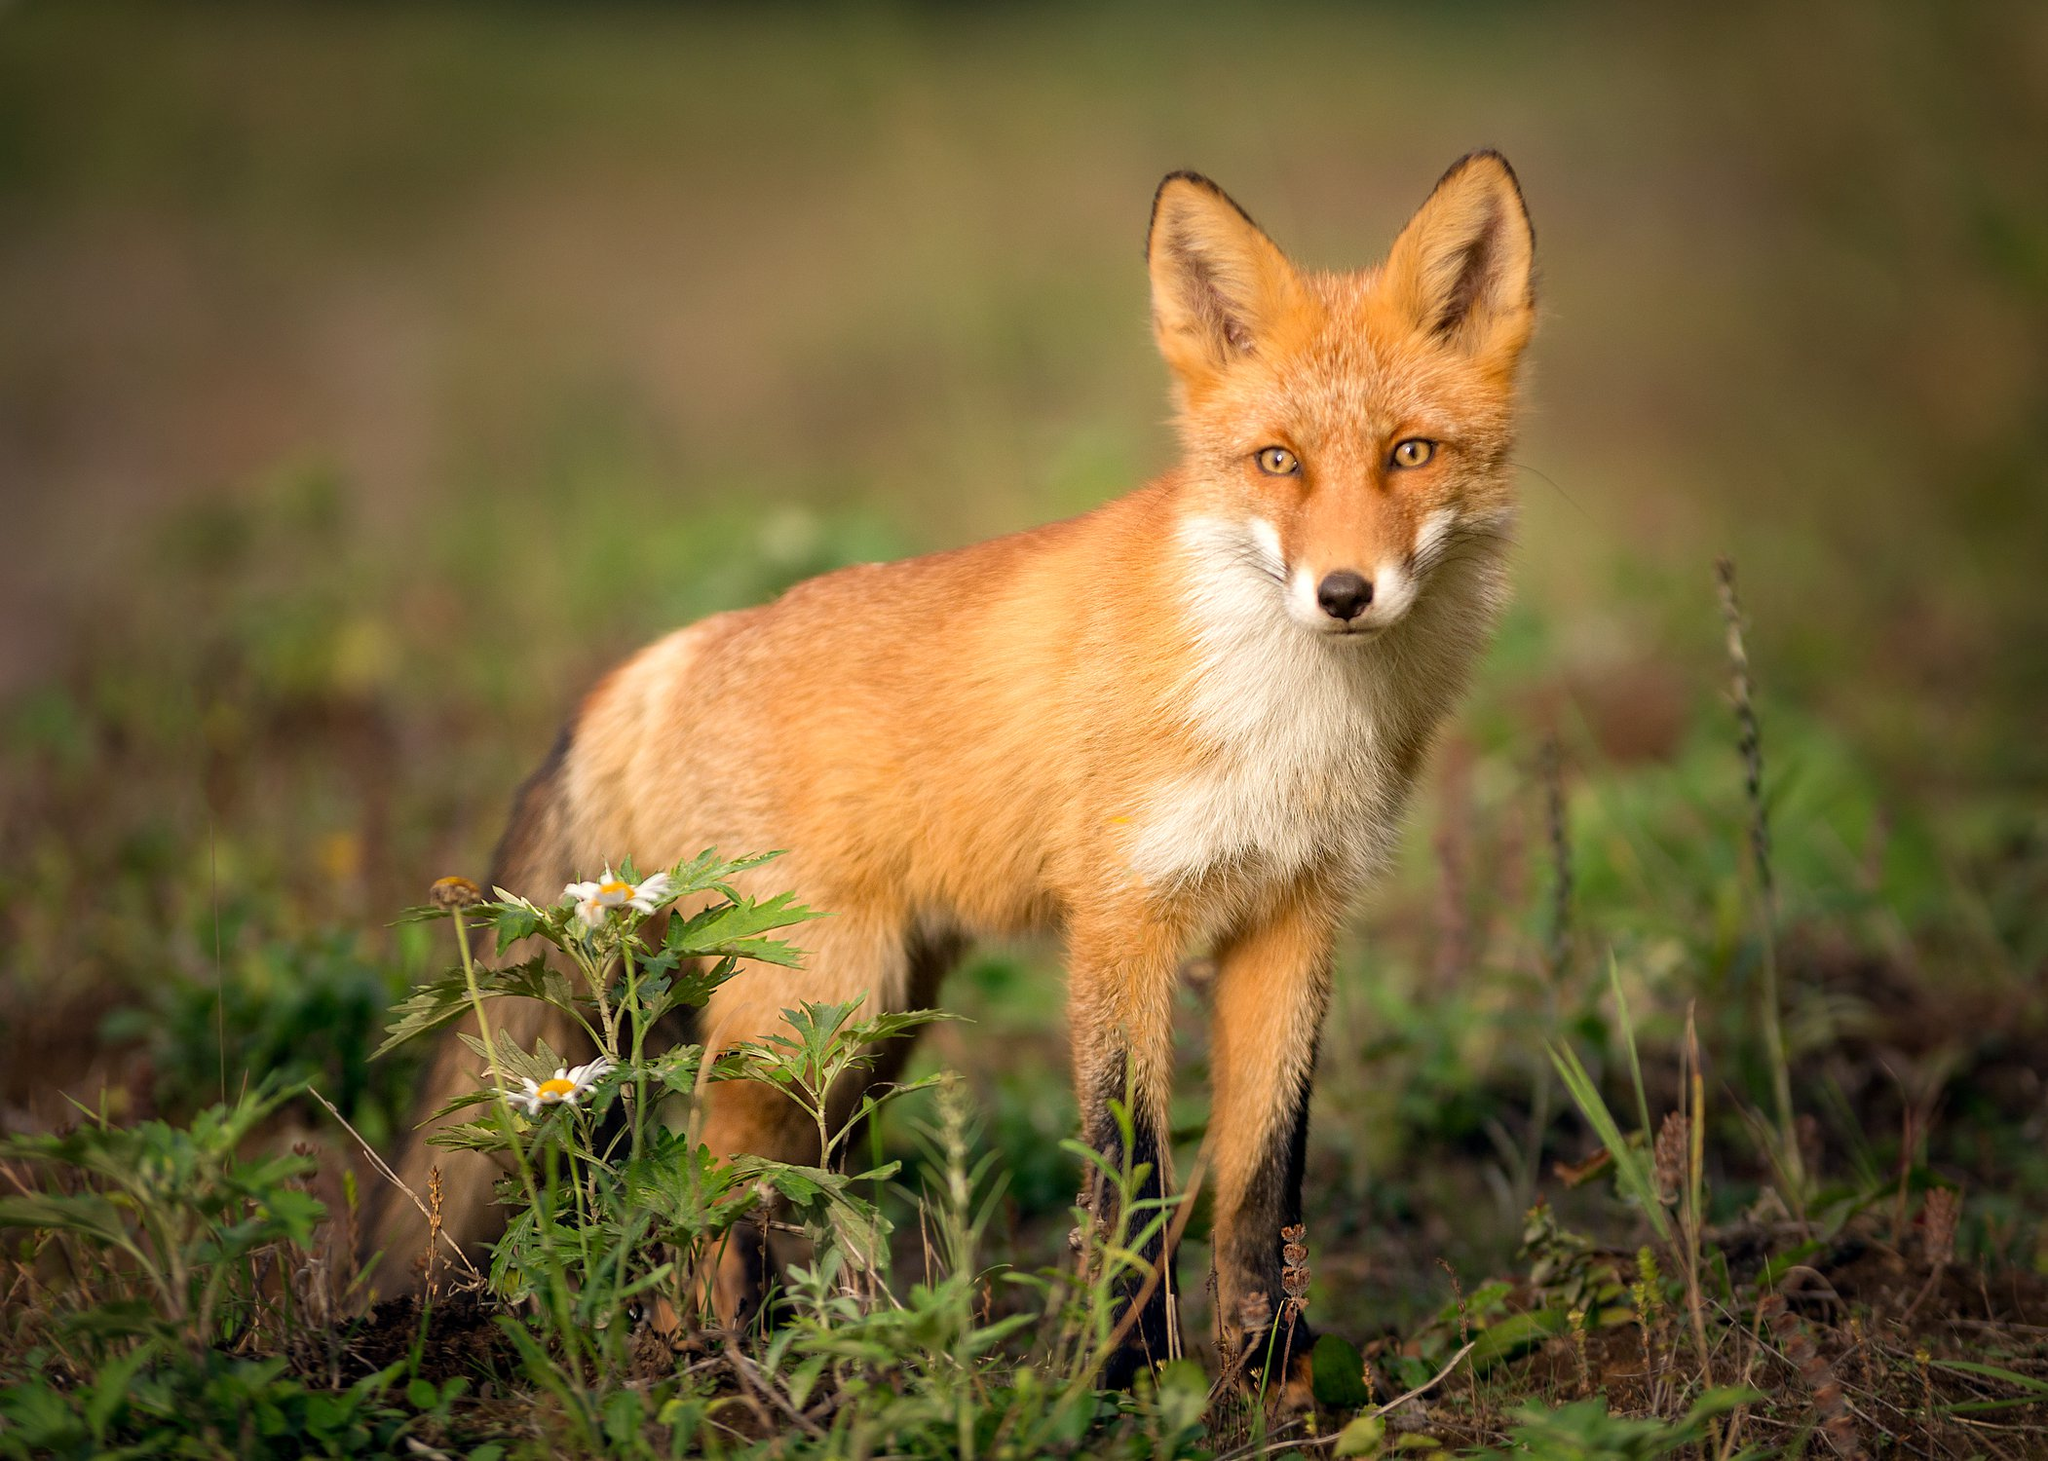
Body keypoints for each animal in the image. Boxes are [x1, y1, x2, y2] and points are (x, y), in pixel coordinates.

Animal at [376, 150, 1540, 1393]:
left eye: (1409, 454)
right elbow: (1127, 1170)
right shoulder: (1120, 920)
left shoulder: (1294, 918)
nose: (1342, 594)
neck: (1288, 719)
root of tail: (667, 654)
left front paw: (1269, 1376)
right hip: (808, 1011)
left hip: (869, 1027)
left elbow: (1262, 1179)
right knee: (702, 1178)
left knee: (788, 1187)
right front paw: (1110, 1374)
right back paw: (719, 1368)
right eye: (1277, 462)